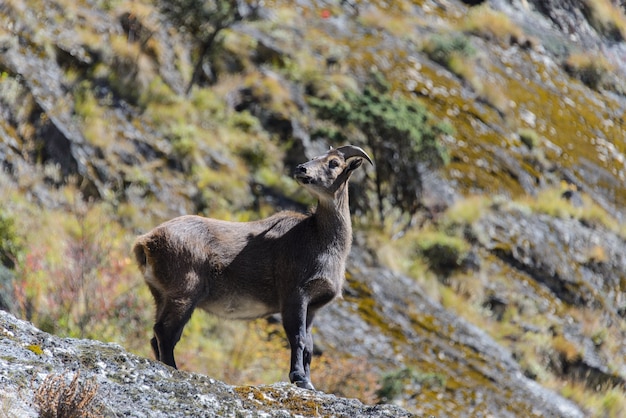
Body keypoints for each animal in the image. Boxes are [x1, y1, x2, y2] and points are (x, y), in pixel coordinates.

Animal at [132, 145, 370, 390]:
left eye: (333, 163)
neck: (318, 238)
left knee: (157, 334)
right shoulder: (295, 293)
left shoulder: (313, 306)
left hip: (160, 293)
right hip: (185, 290)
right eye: (314, 157)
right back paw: (173, 368)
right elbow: (298, 338)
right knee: (165, 331)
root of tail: (146, 242)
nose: (301, 169)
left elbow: (310, 346)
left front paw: (309, 382)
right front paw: (299, 378)